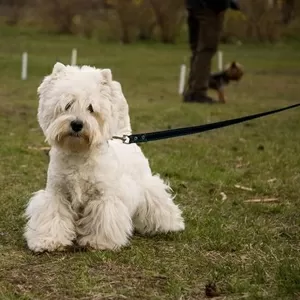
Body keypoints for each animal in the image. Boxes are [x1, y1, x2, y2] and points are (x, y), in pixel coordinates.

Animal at [24, 62, 183, 252]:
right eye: (67, 104)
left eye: (91, 108)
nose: (77, 124)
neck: (79, 152)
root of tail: (125, 135)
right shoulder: (57, 193)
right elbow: (53, 215)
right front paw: (49, 240)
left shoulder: (103, 196)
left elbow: (103, 218)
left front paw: (98, 242)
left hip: (147, 186)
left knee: (159, 203)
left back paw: (171, 225)